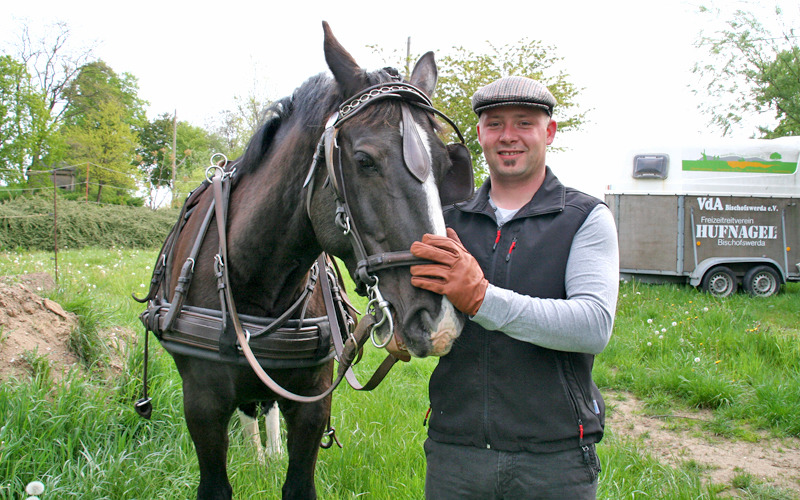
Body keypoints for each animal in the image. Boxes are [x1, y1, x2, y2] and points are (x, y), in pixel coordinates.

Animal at [139, 20, 476, 500]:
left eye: (447, 167)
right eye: (363, 160)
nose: (440, 320)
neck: (256, 285)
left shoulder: (314, 403)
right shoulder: (201, 407)